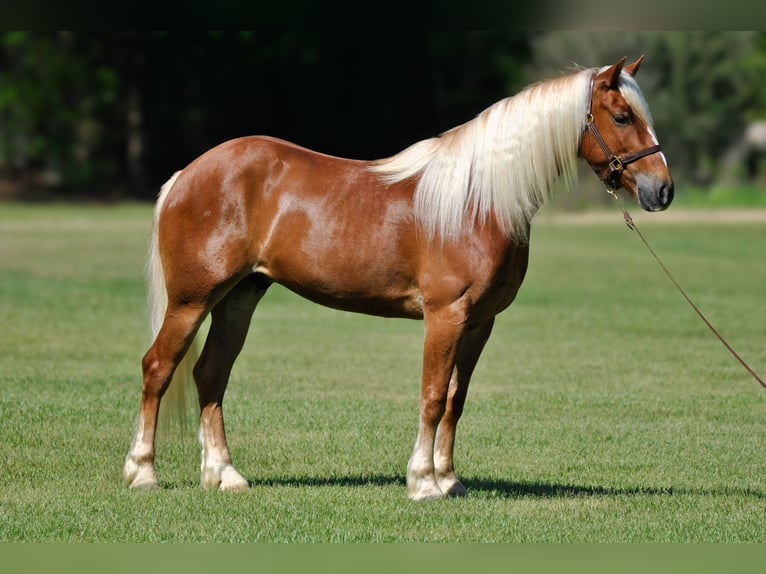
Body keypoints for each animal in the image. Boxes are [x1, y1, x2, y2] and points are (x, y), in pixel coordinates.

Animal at [124, 56, 673, 500]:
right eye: (622, 117)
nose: (662, 190)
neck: (477, 200)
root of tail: (187, 174)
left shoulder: (481, 323)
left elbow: (455, 400)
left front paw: (450, 479)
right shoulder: (445, 316)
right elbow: (431, 397)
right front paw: (424, 482)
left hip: (239, 298)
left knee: (210, 374)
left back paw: (225, 475)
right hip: (192, 301)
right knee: (158, 368)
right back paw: (143, 473)